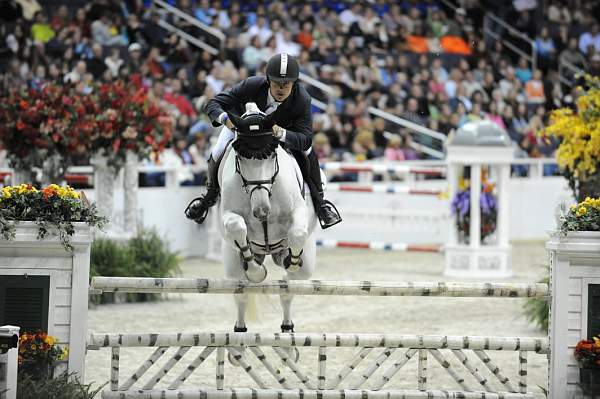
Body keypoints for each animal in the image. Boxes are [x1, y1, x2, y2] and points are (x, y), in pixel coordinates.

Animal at [217, 108, 318, 340]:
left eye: (272, 155)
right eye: (240, 158)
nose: (262, 211)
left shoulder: (298, 211)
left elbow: (297, 233)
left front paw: (292, 260)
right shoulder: (229, 215)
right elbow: (237, 226)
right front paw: (256, 271)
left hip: (304, 265)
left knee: (289, 284)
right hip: (233, 266)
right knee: (241, 292)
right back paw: (239, 335)